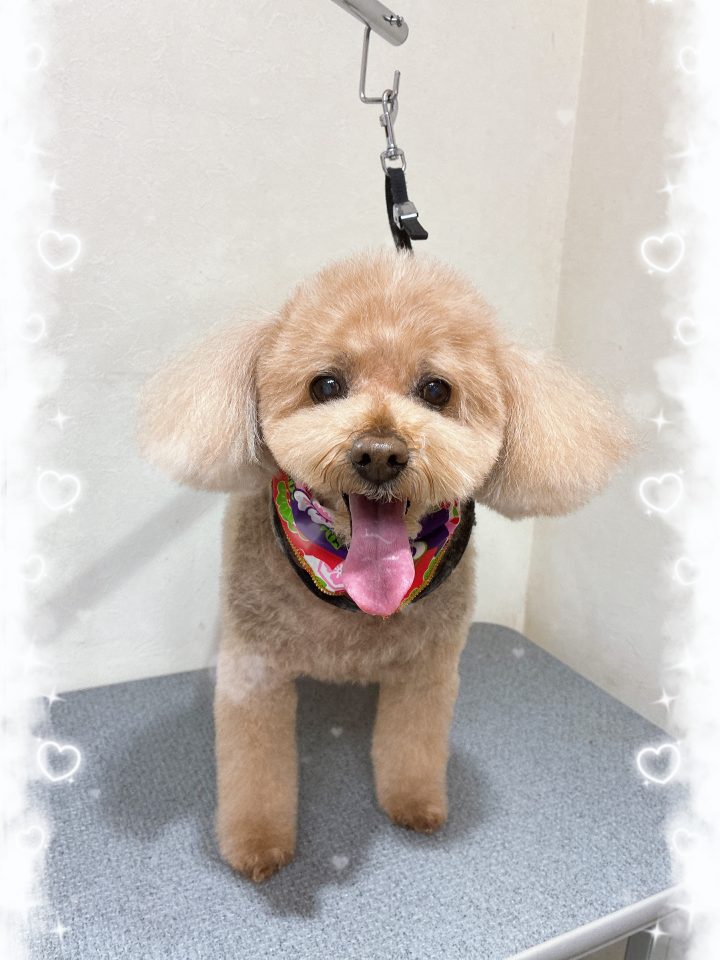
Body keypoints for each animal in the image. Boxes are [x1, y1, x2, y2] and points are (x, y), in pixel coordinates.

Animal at [139, 249, 628, 882]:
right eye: (325, 385)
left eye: (436, 389)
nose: (379, 453)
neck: (353, 592)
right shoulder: (255, 673)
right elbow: (255, 767)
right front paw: (258, 843)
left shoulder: (427, 669)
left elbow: (413, 743)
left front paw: (414, 804)